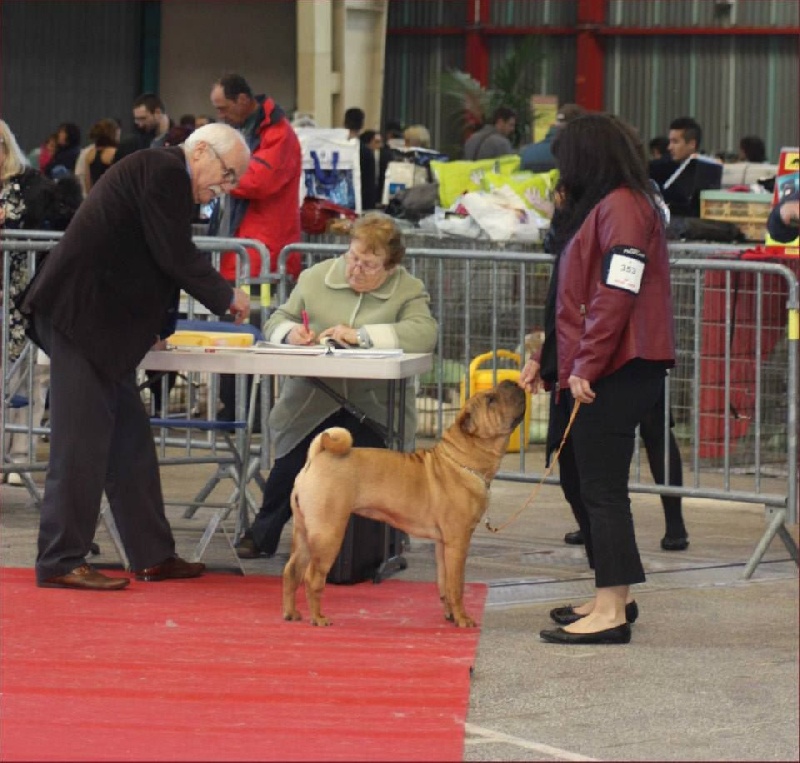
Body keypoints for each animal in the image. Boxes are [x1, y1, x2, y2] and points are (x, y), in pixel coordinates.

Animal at [284, 380, 528, 628]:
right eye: (491, 400)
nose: (511, 382)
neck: (462, 460)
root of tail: (316, 458)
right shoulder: (458, 542)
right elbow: (457, 585)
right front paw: (463, 619)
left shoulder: (443, 545)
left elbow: (445, 584)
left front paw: (450, 615)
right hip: (328, 533)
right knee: (312, 577)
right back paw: (318, 618)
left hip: (304, 533)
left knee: (292, 571)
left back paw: (291, 613)